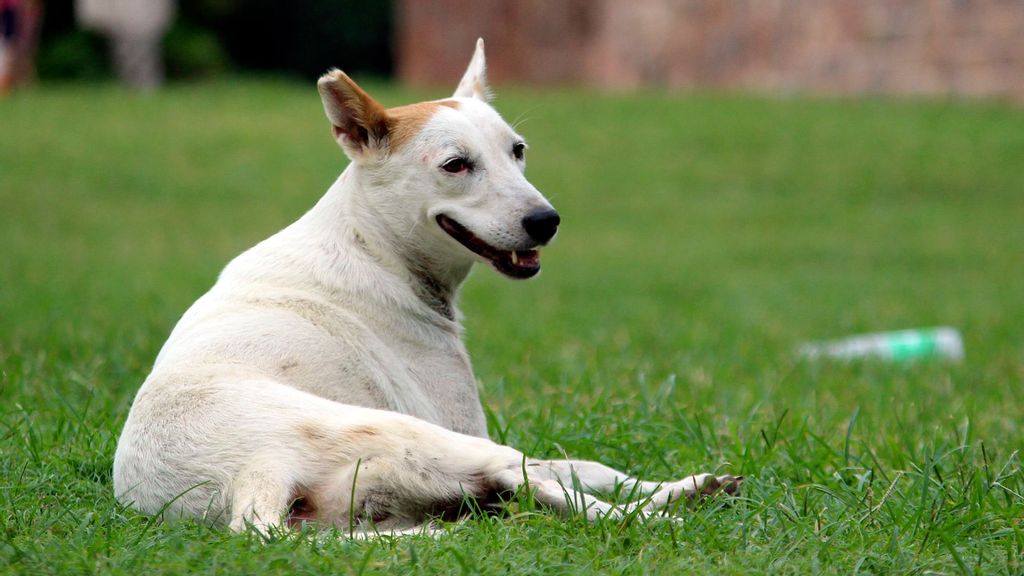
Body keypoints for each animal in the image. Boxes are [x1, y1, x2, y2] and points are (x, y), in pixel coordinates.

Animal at [110, 39, 737, 532]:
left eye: (518, 151)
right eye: (456, 165)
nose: (547, 221)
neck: (374, 246)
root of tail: (250, 473)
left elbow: (587, 468)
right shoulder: (459, 420)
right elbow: (576, 468)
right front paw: (661, 491)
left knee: (531, 489)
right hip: (426, 437)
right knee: (548, 485)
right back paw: (672, 507)